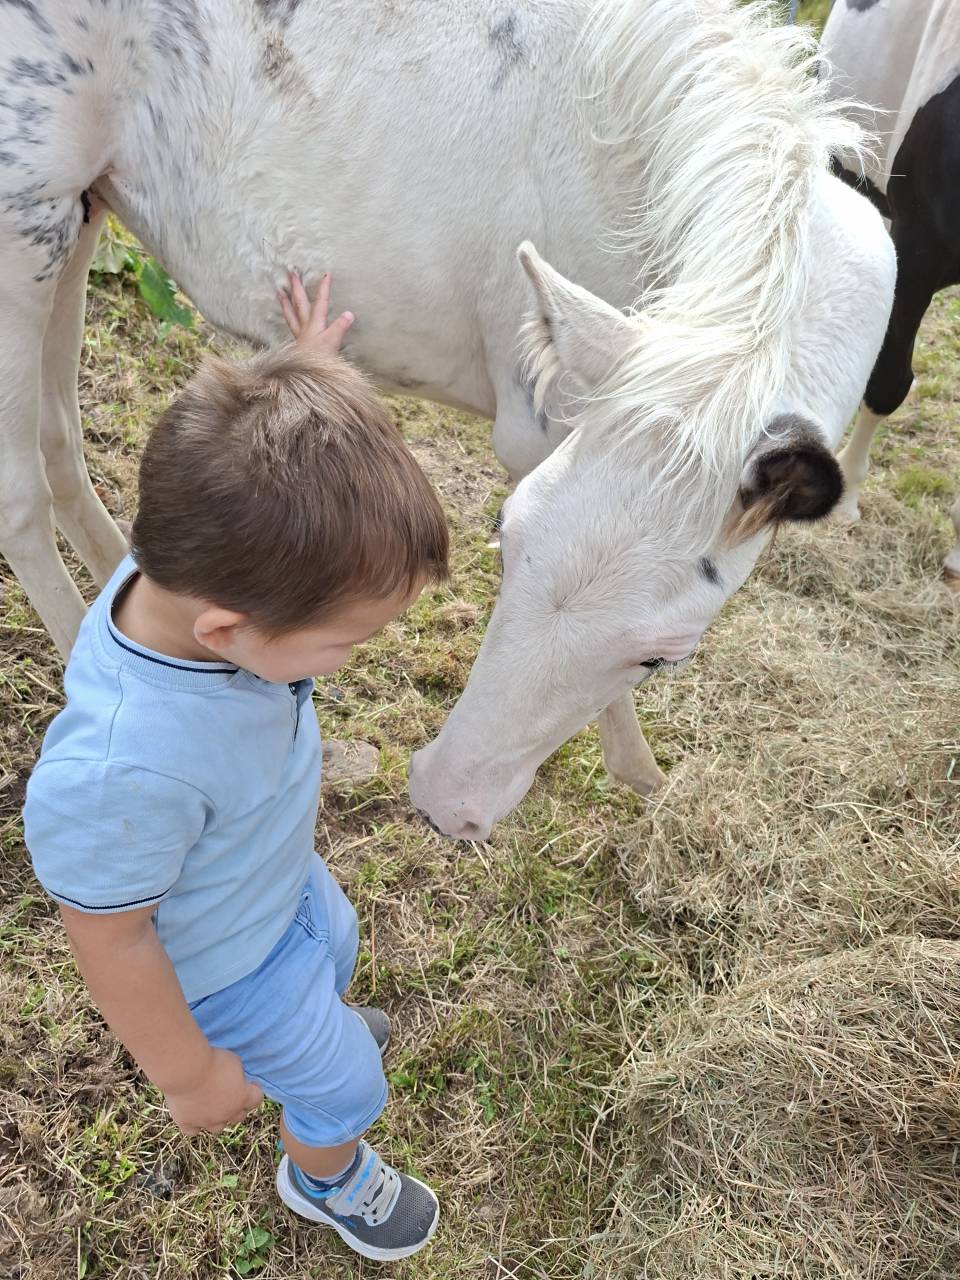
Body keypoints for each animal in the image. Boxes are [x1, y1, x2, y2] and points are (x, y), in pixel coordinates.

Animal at [0, 0, 893, 834]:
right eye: (505, 542)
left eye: (665, 658)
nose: (443, 802)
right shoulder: (545, 426)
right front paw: (636, 769)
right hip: (25, 225)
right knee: (22, 499)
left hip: (81, 213)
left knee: (60, 442)